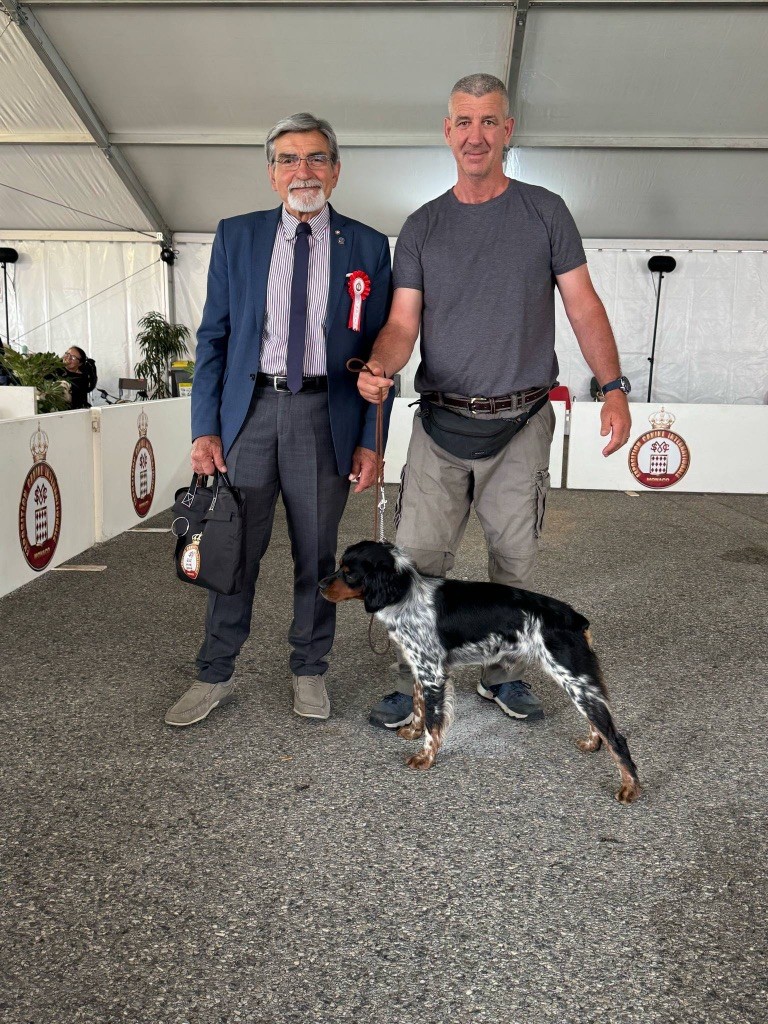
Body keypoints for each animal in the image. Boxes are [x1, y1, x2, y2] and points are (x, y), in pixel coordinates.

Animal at [320, 540, 640, 804]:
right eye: (339, 566)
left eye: (349, 573)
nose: (320, 585)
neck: (405, 595)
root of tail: (575, 618)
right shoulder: (420, 668)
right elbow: (419, 707)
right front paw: (412, 731)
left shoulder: (433, 674)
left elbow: (433, 723)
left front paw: (425, 757)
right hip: (577, 681)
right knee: (596, 722)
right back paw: (592, 743)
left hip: (573, 678)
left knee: (616, 738)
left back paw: (630, 787)